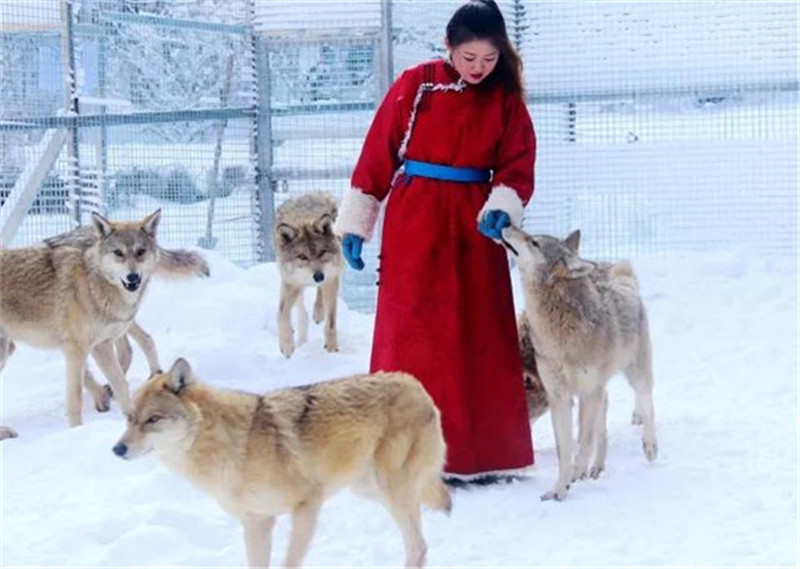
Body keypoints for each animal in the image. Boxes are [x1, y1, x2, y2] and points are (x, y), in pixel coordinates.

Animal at [0, 211, 164, 438]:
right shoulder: (75, 350)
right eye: (118, 253)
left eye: (140, 252)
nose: (133, 277)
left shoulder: (101, 346)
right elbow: (75, 399)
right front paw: (76, 432)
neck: (93, 284)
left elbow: (121, 384)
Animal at [113, 360, 454, 568]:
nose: (117, 449)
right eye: (129, 418)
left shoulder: (308, 506)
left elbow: (289, 561)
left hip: (391, 492)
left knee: (418, 546)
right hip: (369, 490)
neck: (238, 445)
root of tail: (415, 383)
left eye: (152, 419)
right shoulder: (256, 521)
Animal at [274, 193, 342, 358]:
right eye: (302, 256)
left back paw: (318, 313)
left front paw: (332, 348)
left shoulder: (331, 278)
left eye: (322, 252)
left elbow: (331, 322)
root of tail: (313, 194)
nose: (318, 276)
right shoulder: (291, 283)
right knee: (301, 312)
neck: (304, 219)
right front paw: (287, 344)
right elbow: (281, 313)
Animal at [506, 226, 656, 502]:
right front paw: (559, 488)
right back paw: (596, 467)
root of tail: (619, 273)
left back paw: (649, 443)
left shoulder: (590, 391)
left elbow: (585, 440)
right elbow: (565, 450)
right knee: (604, 420)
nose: (507, 226)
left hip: (635, 372)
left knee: (647, 400)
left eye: (534, 242)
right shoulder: (561, 397)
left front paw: (576, 471)